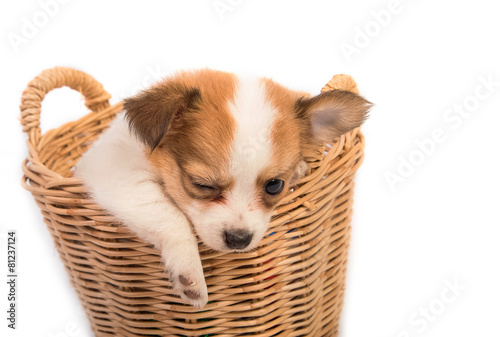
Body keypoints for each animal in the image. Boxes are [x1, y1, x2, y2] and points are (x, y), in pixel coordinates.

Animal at [75, 69, 372, 308]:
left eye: (275, 185)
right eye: (202, 184)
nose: (239, 239)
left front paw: (300, 169)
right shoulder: (116, 173)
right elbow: (169, 215)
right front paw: (190, 272)